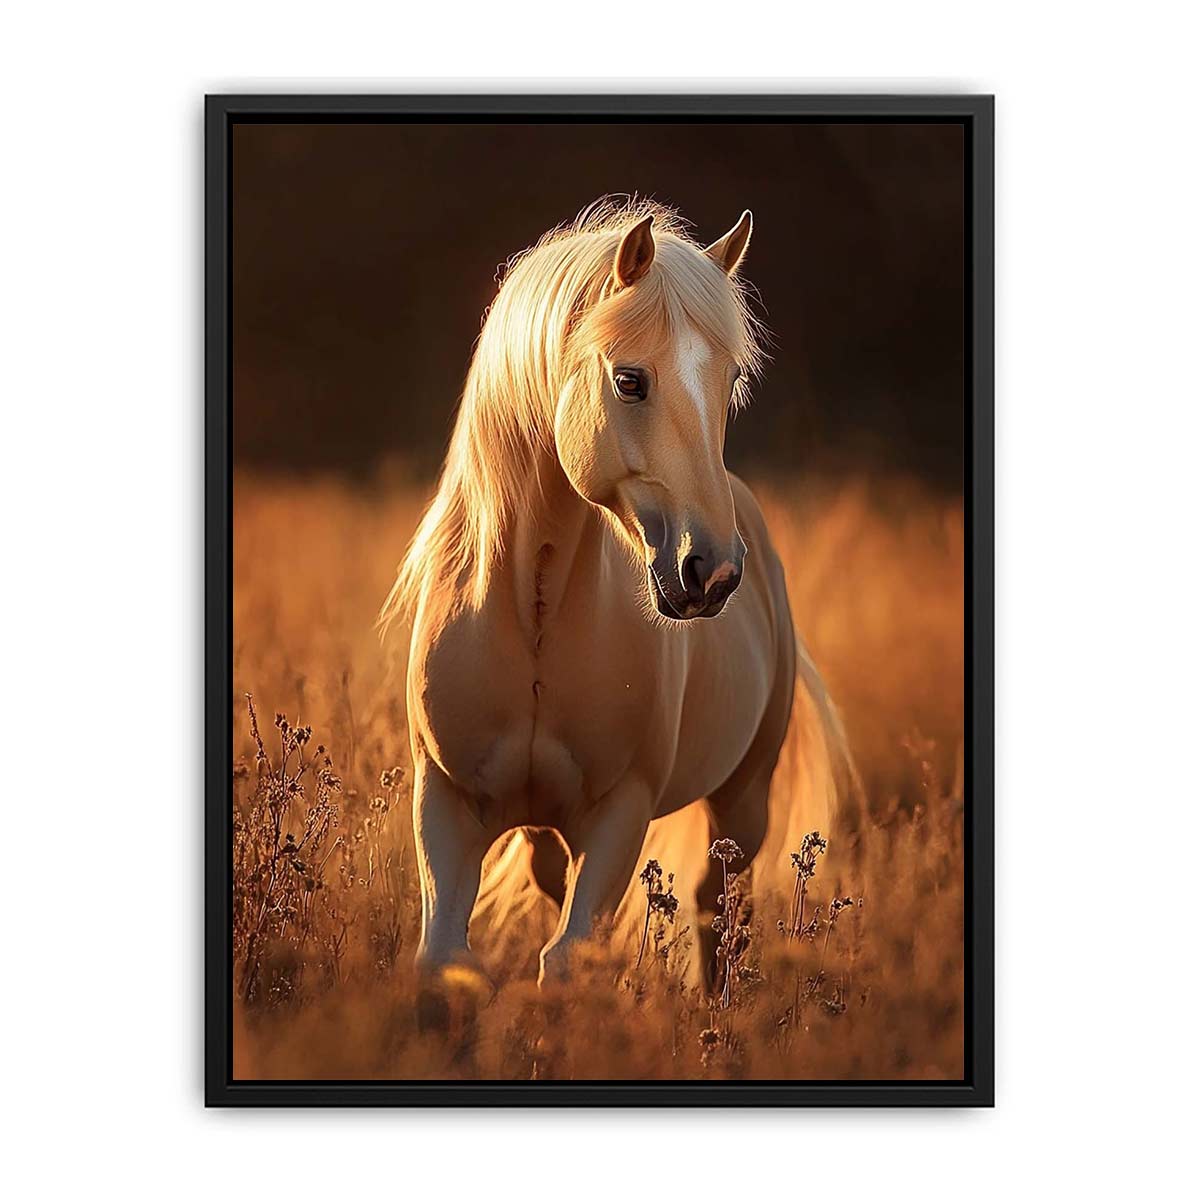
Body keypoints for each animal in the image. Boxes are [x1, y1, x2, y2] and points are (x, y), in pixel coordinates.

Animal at [381, 199, 839, 992]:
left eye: (729, 383)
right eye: (630, 380)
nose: (712, 573)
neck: (533, 614)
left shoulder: (620, 813)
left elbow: (566, 960)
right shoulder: (445, 803)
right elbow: (443, 959)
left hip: (743, 802)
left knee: (722, 917)